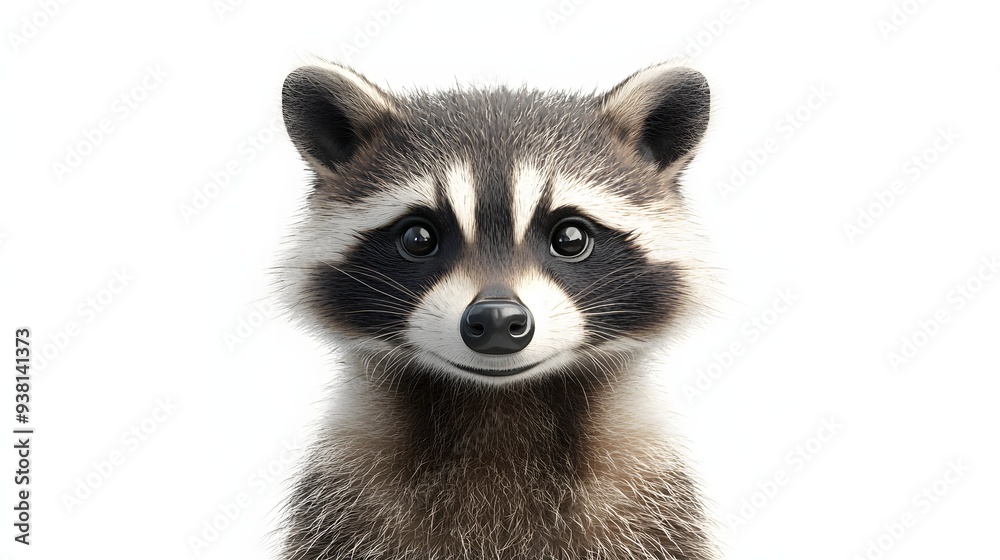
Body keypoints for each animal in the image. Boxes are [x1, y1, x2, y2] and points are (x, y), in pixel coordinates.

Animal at [277, 59, 715, 560]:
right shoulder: (343, 502)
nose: (498, 321)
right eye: (418, 237)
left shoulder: (652, 503)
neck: (498, 410)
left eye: (570, 237)